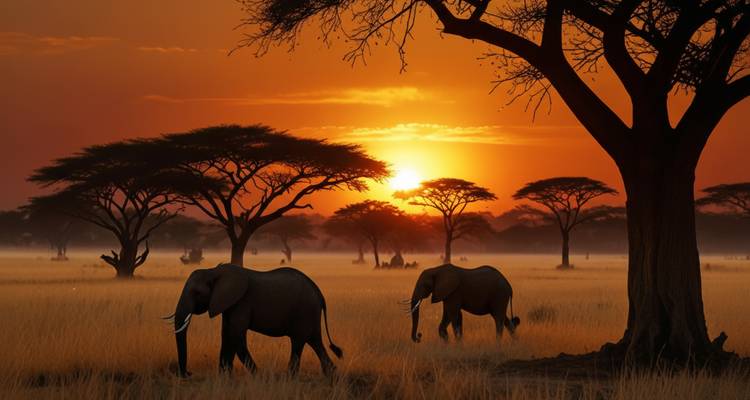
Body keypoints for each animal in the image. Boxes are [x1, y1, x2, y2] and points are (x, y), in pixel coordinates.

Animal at [164, 263, 343, 377]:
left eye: (197, 293)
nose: (188, 373)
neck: (214, 271)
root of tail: (319, 293)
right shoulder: (229, 304)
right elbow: (226, 335)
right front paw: (224, 377)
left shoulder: (241, 303)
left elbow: (235, 336)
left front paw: (256, 376)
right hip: (310, 313)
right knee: (315, 341)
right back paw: (331, 374)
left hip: (304, 310)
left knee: (298, 342)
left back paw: (290, 377)